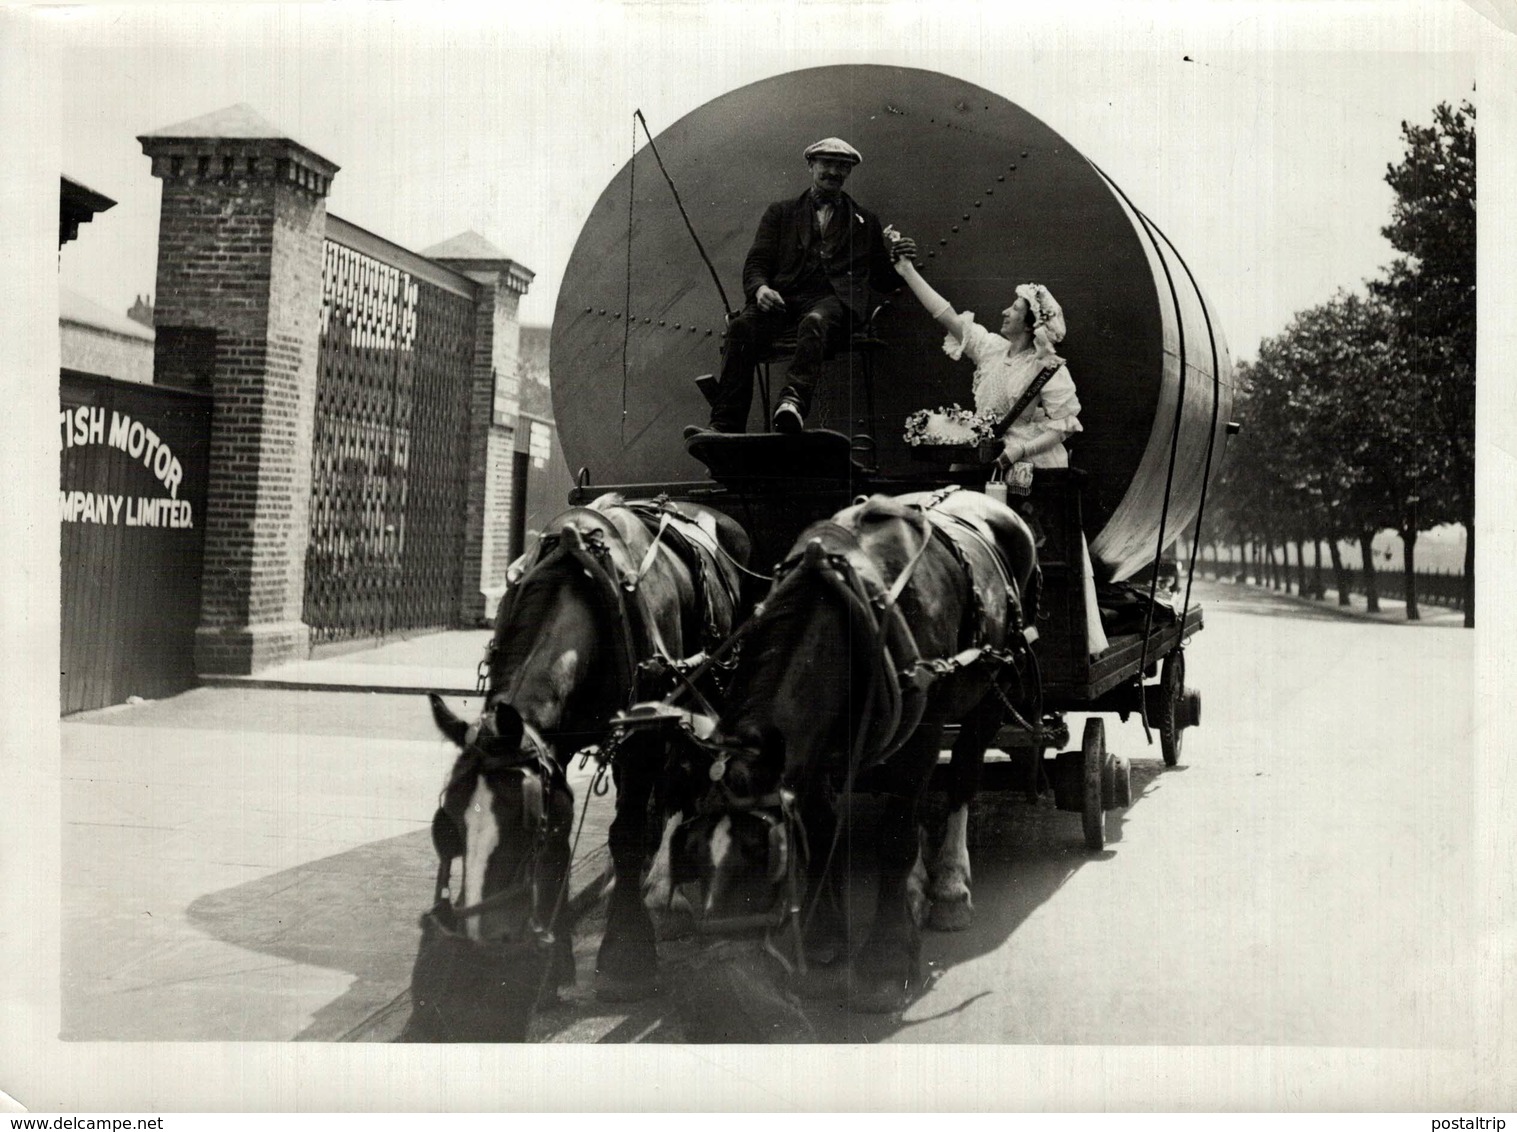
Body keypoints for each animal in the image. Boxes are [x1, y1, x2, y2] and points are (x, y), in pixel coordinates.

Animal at [403, 488, 752, 1037]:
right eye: (447, 826)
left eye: (526, 827)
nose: (482, 947)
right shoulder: (555, 746)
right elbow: (561, 846)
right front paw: (552, 969)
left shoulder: (643, 738)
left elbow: (627, 836)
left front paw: (627, 960)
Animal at [658, 488, 1037, 1007]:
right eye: (693, 850)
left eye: (764, 853)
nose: (723, 949)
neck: (848, 610)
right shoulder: (815, 750)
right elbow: (823, 831)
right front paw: (823, 934)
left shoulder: (923, 733)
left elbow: (894, 836)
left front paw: (886, 958)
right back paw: (917, 887)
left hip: (991, 691)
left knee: (962, 775)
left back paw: (949, 884)